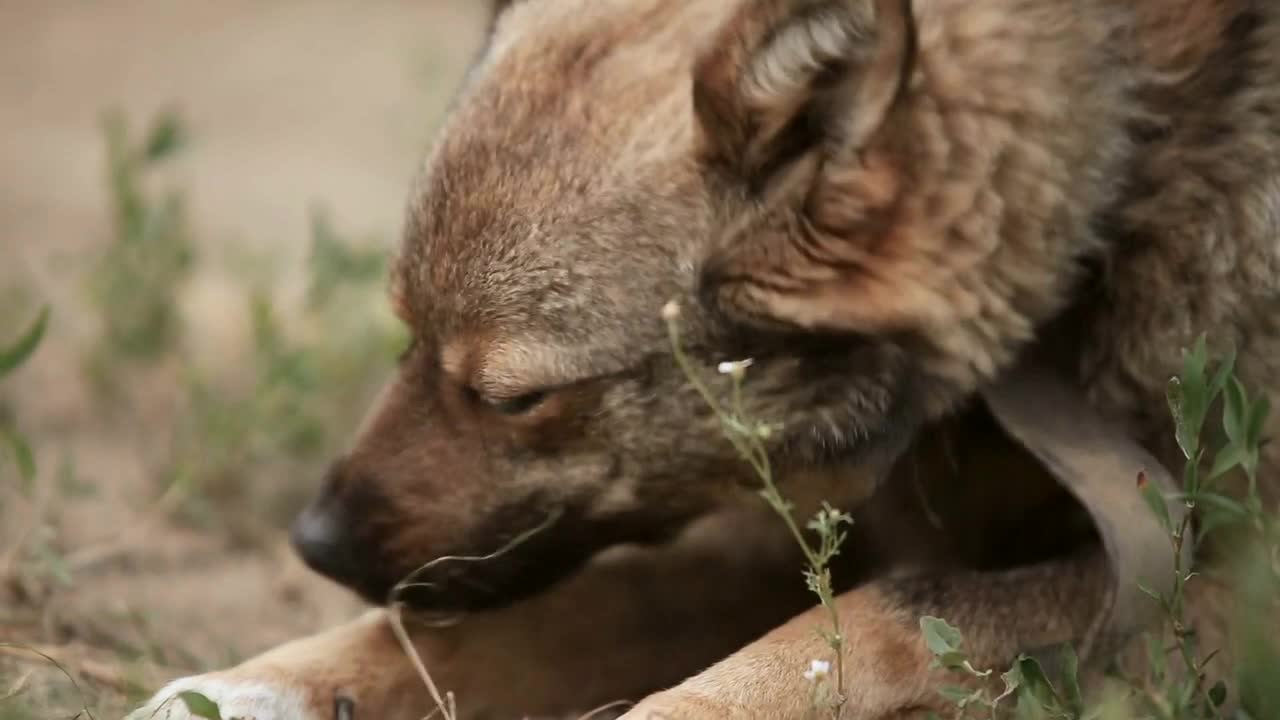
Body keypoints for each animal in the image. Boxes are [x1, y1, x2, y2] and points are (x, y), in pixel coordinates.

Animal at [132, 0, 1280, 712]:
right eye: (404, 334)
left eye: (512, 398)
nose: (313, 543)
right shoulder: (800, 529)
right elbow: (512, 620)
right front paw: (252, 687)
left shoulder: (1217, 588)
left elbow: (875, 626)